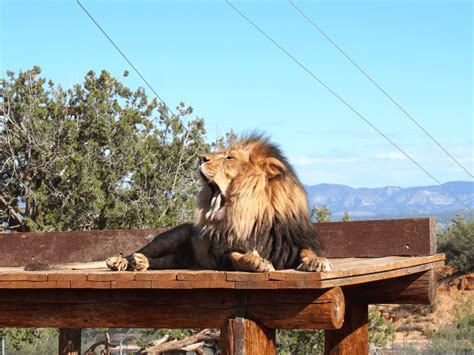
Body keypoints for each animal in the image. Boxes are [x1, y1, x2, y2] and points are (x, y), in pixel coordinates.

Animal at [105, 134, 332, 272]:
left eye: (229, 157)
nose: (200, 158)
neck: (253, 213)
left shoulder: (294, 242)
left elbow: (308, 251)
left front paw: (318, 262)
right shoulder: (223, 252)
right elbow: (239, 257)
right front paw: (257, 262)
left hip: (181, 258)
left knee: (165, 261)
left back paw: (141, 263)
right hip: (170, 237)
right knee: (140, 250)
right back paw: (120, 261)